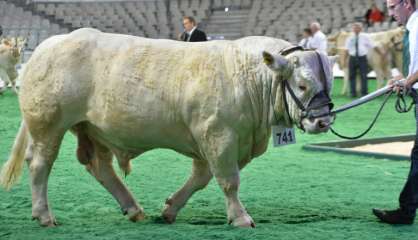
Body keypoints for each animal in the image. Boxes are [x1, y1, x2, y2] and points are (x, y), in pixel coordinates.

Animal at [0, 27, 336, 227]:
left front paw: (170, 208)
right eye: (303, 85)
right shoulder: (218, 135)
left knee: (99, 166)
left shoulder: (217, 140)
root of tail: (50, 43)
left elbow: (201, 178)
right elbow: (229, 181)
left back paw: (132, 208)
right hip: (48, 123)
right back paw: (44, 214)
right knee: (40, 163)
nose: (323, 121)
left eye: (329, 82)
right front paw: (241, 217)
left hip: (92, 128)